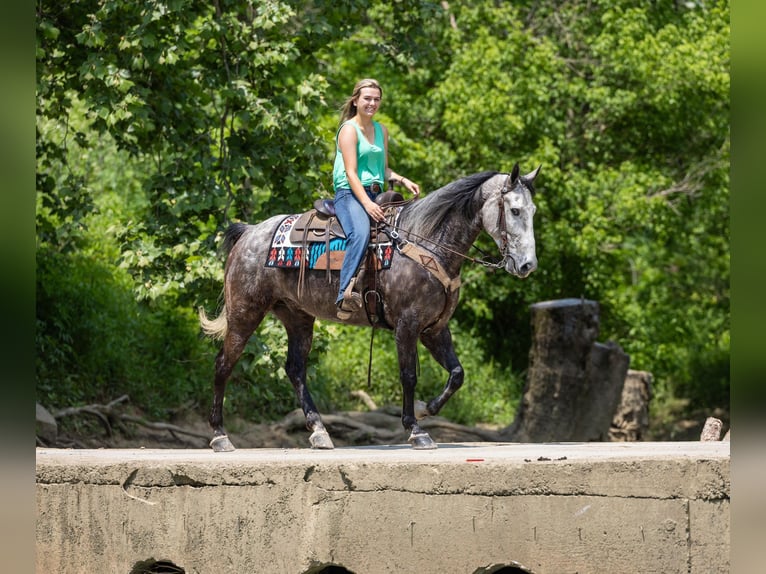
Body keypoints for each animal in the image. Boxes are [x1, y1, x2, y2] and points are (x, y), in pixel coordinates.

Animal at [199, 163, 540, 451]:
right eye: (514, 210)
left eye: (533, 211)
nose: (527, 265)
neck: (428, 242)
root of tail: (249, 233)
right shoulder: (407, 325)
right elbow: (408, 375)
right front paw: (415, 429)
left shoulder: (434, 328)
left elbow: (457, 374)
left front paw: (426, 409)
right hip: (245, 312)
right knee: (223, 364)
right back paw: (220, 436)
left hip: (297, 317)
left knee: (295, 369)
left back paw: (319, 431)